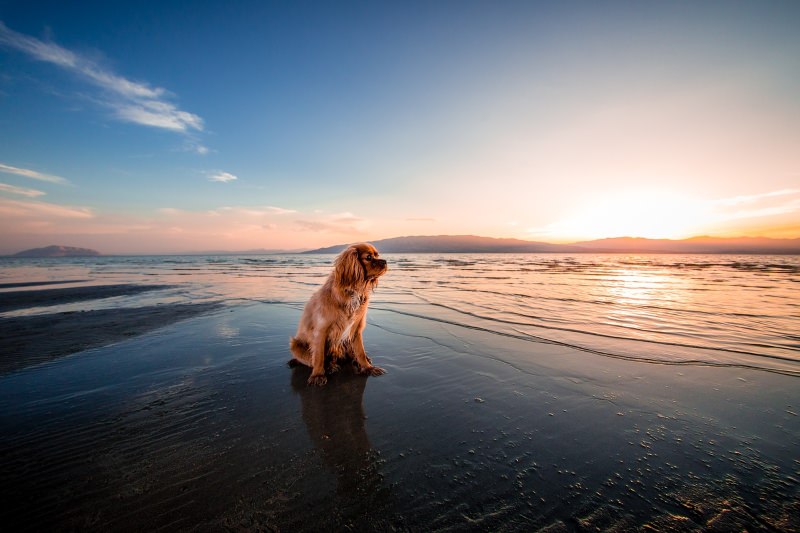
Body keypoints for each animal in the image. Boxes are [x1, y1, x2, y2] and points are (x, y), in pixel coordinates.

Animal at [290, 243, 390, 384]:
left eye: (377, 255)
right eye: (369, 257)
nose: (385, 261)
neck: (353, 290)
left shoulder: (356, 329)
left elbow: (360, 351)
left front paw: (368, 367)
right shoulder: (321, 330)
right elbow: (319, 356)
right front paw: (318, 375)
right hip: (296, 345)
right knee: (314, 360)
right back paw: (330, 366)